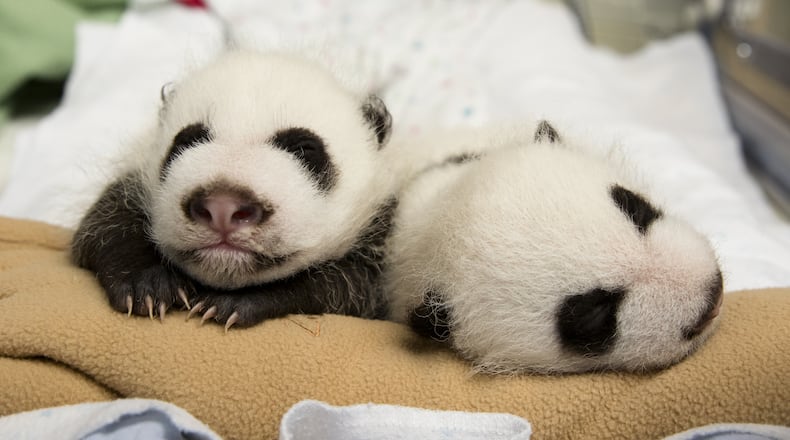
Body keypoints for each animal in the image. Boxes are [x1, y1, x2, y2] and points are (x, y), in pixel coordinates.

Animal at [71, 50, 397, 330]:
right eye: (187, 141)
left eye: (304, 150)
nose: (222, 206)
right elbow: (101, 226)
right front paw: (148, 285)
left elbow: (344, 287)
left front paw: (233, 303)